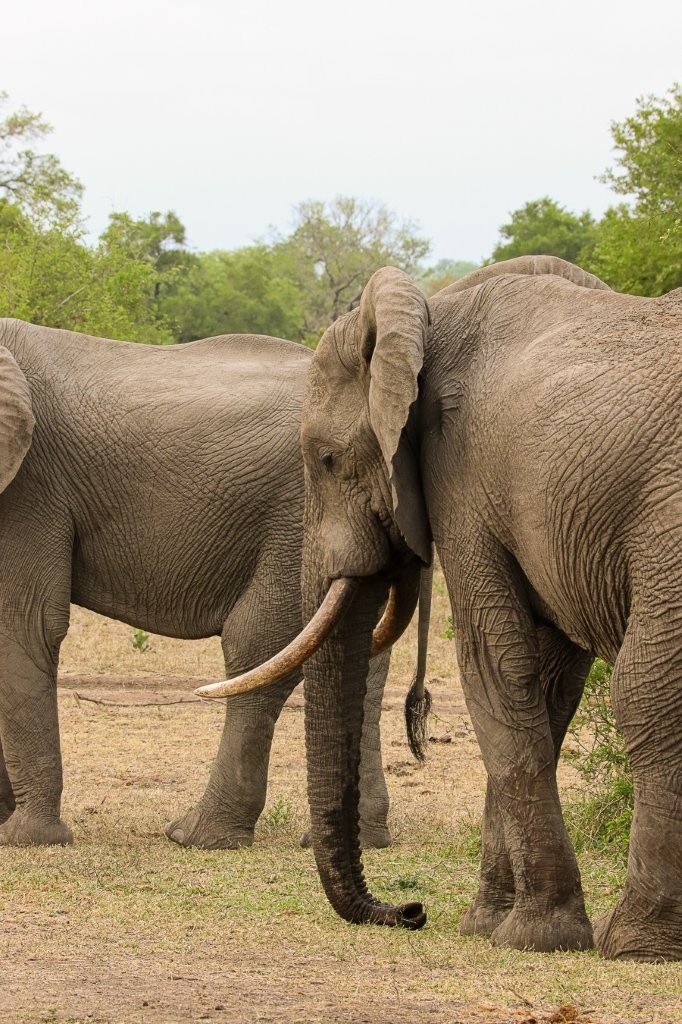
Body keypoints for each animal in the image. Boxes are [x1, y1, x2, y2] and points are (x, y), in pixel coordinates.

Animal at [0, 316, 418, 851]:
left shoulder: (30, 488)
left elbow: (24, 625)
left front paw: (25, 838)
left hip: (300, 514)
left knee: (258, 645)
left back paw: (196, 836)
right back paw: (357, 839)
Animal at [200, 256, 682, 962]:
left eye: (327, 460)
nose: (411, 910)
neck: (432, 316)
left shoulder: (465, 479)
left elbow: (495, 668)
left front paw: (535, 937)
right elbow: (547, 683)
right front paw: (488, 926)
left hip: (668, 525)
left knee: (648, 692)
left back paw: (638, 944)